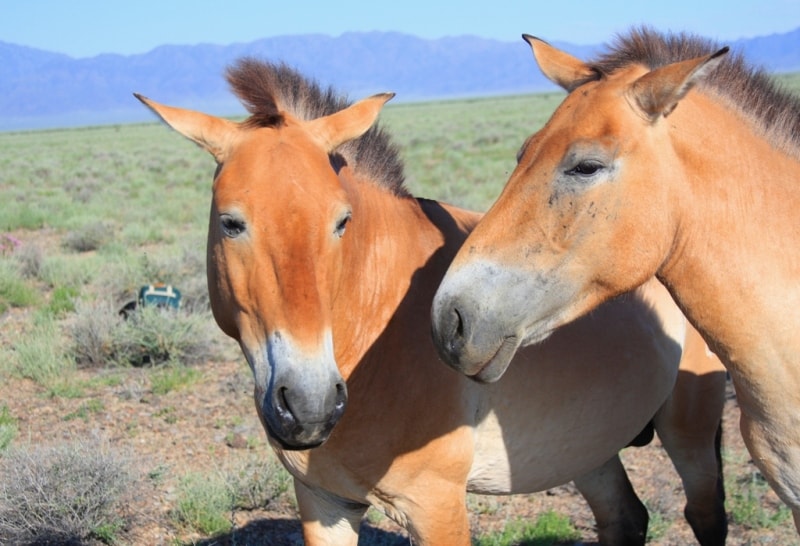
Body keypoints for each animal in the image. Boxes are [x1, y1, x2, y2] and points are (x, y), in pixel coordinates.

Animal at [136, 59, 724, 544]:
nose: (310, 405)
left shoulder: (435, 506)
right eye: (231, 223)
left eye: (341, 221)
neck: (375, 332)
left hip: (690, 432)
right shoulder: (325, 503)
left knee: (705, 514)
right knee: (625, 518)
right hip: (586, 445)